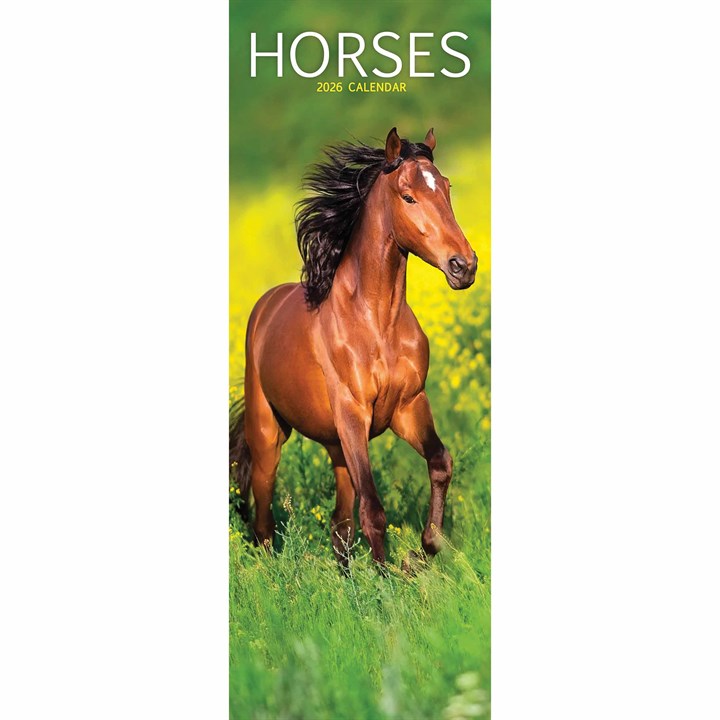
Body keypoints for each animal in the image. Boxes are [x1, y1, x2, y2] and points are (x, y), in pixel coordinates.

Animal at [230, 127, 477, 567]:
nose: (464, 266)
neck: (377, 323)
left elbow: (440, 463)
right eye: (408, 196)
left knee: (339, 525)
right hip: (269, 436)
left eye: (447, 188)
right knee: (263, 518)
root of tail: (266, 305)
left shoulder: (409, 406)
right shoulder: (353, 414)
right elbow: (373, 510)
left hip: (336, 446)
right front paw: (387, 579)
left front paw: (423, 550)